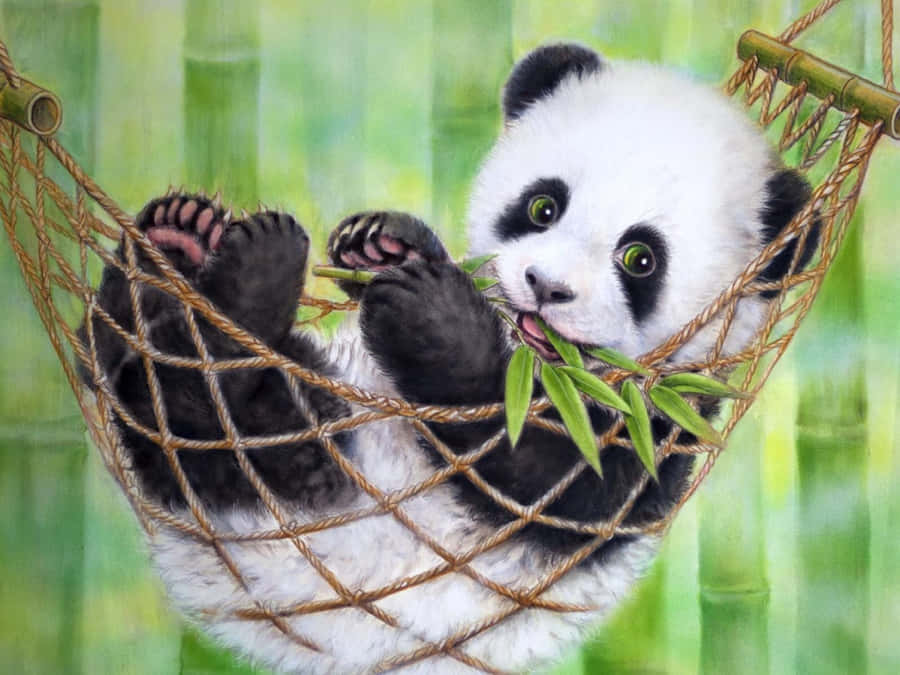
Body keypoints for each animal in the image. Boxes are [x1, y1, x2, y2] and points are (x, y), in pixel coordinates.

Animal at [81, 44, 814, 674]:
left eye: (640, 258)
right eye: (542, 206)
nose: (545, 287)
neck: (535, 363)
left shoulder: (651, 431)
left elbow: (535, 474)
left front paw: (430, 315)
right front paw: (384, 243)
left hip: (306, 476)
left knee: (206, 413)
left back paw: (247, 282)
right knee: (116, 361)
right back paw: (173, 242)